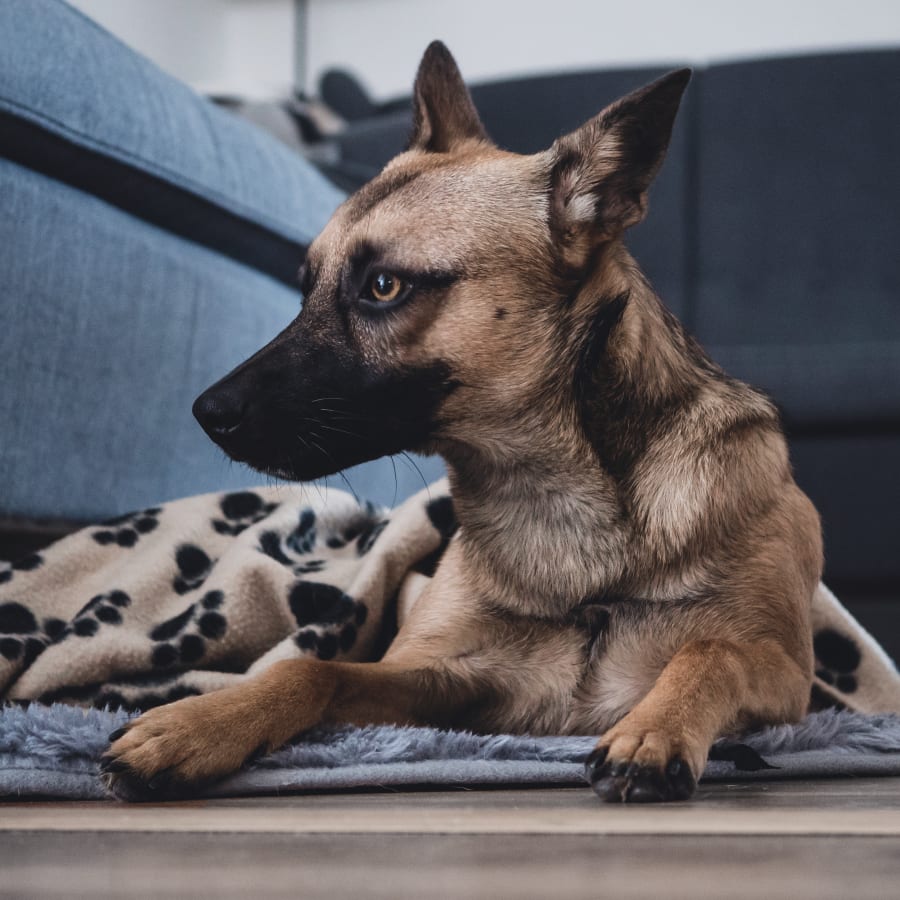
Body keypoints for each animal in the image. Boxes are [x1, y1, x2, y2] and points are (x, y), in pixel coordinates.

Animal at [102, 42, 828, 800]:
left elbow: (712, 650)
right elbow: (309, 668)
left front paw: (653, 732)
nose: (206, 413)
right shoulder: (443, 678)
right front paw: (198, 723)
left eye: (383, 286)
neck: (554, 495)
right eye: (305, 289)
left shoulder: (785, 676)